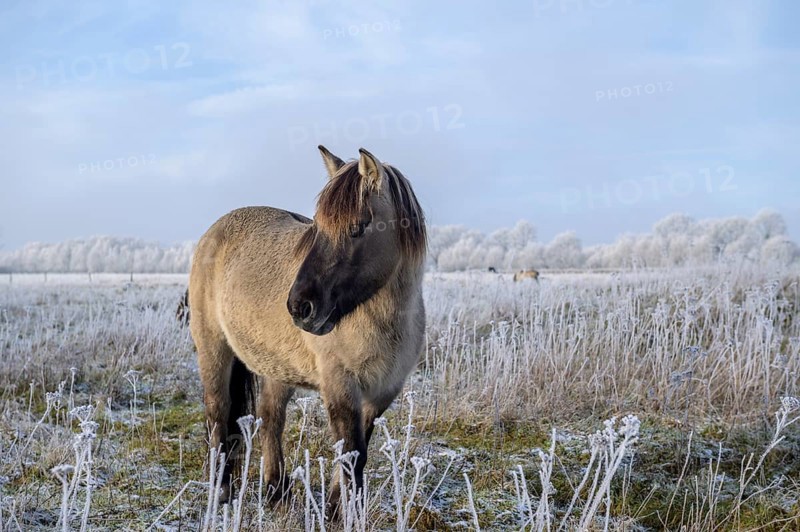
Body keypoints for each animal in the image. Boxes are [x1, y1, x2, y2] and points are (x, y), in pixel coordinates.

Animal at [187, 146, 427, 514]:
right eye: (317, 227)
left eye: (358, 227)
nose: (300, 307)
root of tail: (213, 233)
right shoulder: (340, 386)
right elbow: (350, 453)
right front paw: (343, 514)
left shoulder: (382, 393)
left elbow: (357, 452)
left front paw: (338, 507)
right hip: (214, 351)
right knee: (219, 415)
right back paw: (222, 491)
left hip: (276, 367)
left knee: (271, 417)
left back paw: (276, 490)